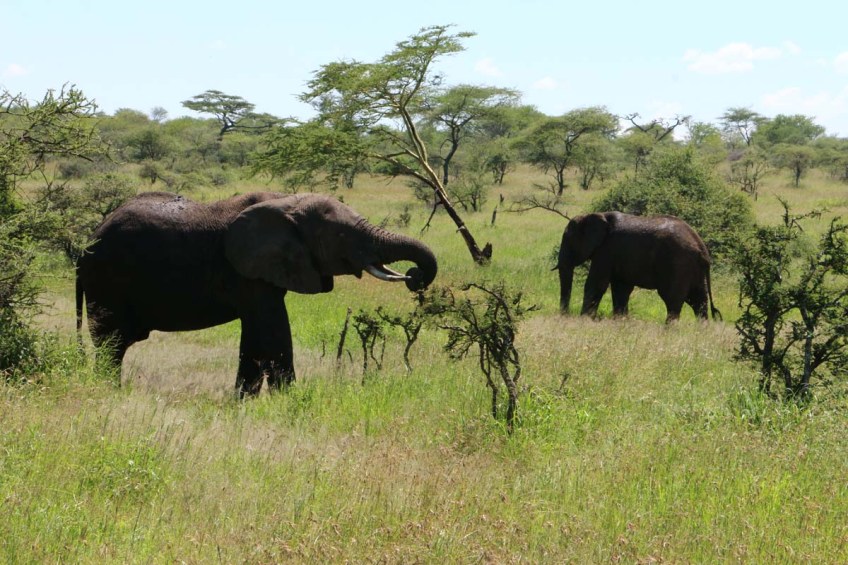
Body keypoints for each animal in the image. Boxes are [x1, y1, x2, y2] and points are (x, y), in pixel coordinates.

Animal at [75, 191, 437, 396]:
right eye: (341, 235)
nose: (414, 276)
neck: (287, 202)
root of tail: (86, 243)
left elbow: (254, 336)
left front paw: (243, 402)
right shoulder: (246, 270)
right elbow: (275, 331)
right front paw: (288, 402)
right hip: (106, 280)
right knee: (112, 343)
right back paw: (109, 393)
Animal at [556, 211, 720, 322]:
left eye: (568, 241)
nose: (565, 315)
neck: (594, 215)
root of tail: (701, 247)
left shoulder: (606, 250)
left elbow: (596, 284)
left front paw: (584, 320)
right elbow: (621, 289)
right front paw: (620, 322)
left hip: (678, 264)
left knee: (673, 299)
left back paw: (668, 331)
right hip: (693, 268)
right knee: (698, 300)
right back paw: (701, 330)